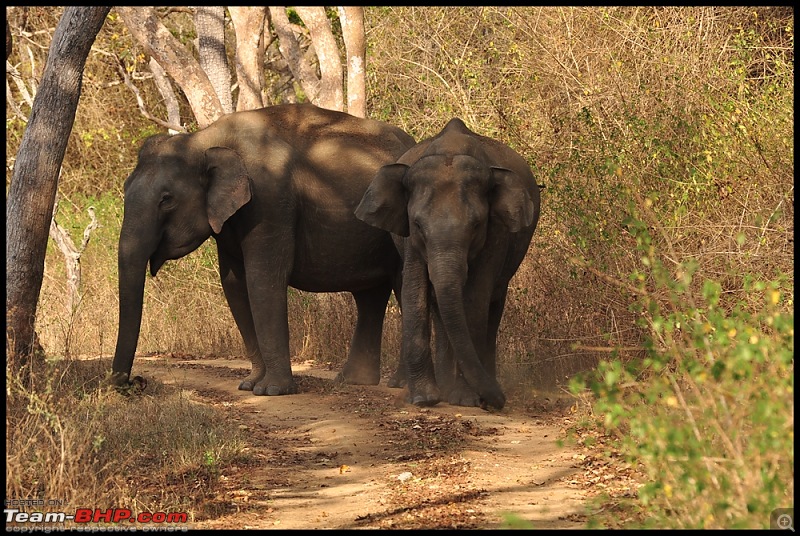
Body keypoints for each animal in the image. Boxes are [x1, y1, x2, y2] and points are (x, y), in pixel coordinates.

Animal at [111, 104, 418, 396]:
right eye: (125, 187)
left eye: (167, 199)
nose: (133, 382)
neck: (205, 139)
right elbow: (234, 286)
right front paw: (250, 385)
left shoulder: (270, 201)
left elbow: (263, 280)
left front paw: (272, 390)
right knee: (370, 296)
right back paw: (353, 381)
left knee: (400, 287)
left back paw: (400, 384)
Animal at [354, 118, 540, 410]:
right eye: (418, 225)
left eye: (476, 225)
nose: (499, 402)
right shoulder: (410, 240)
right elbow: (414, 291)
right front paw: (424, 398)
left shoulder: (496, 233)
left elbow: (475, 298)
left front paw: (466, 400)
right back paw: (445, 386)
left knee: (494, 302)